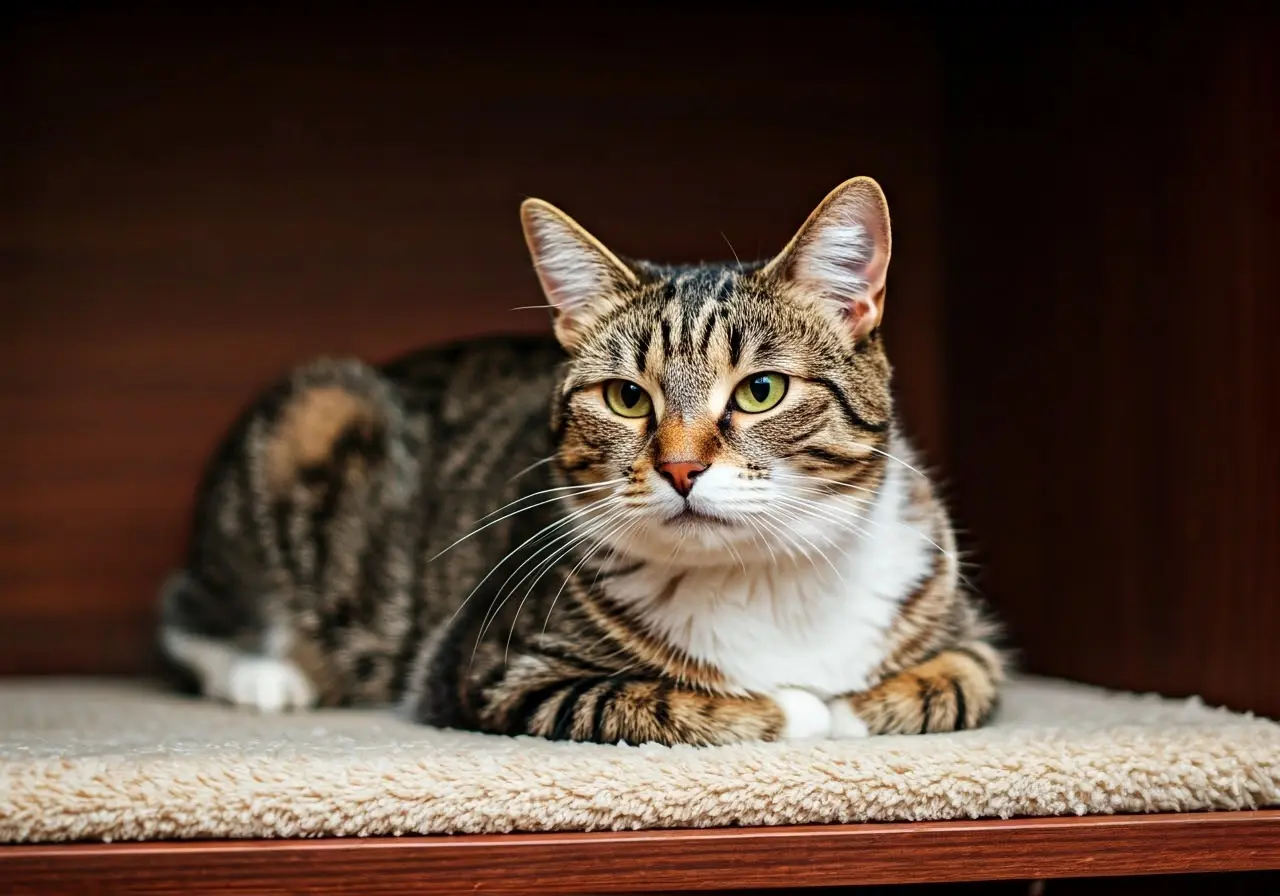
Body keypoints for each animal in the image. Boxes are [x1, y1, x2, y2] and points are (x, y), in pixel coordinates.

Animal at [160, 177, 1003, 747]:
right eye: (627, 398)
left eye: (761, 390)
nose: (681, 469)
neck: (762, 580)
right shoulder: (492, 671)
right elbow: (654, 700)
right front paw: (796, 706)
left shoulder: (970, 642)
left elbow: (955, 685)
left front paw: (849, 705)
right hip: (316, 411)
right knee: (188, 611)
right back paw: (267, 675)